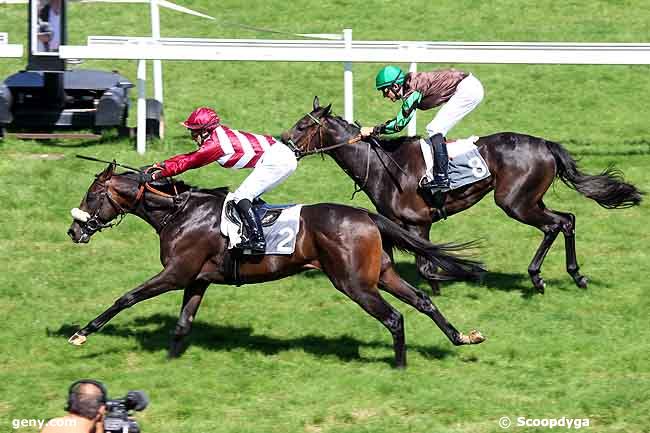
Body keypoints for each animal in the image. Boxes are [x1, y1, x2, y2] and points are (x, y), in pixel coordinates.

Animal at [66, 162, 484, 368]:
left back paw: (399, 366)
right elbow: (183, 323)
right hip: (381, 273)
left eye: (92, 195)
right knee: (423, 301)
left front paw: (82, 333)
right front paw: (169, 364)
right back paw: (461, 337)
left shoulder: (176, 273)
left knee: (395, 317)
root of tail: (367, 215)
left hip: (353, 283)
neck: (178, 212)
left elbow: (126, 297)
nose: (74, 230)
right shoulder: (197, 278)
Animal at [280, 97, 640, 294]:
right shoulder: (394, 226)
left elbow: (429, 265)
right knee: (567, 220)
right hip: (531, 199)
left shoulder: (419, 223)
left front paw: (466, 274)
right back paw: (575, 275)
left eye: (303, 126)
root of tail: (545, 144)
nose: (283, 140)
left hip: (515, 202)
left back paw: (538, 278)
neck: (386, 165)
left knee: (554, 225)